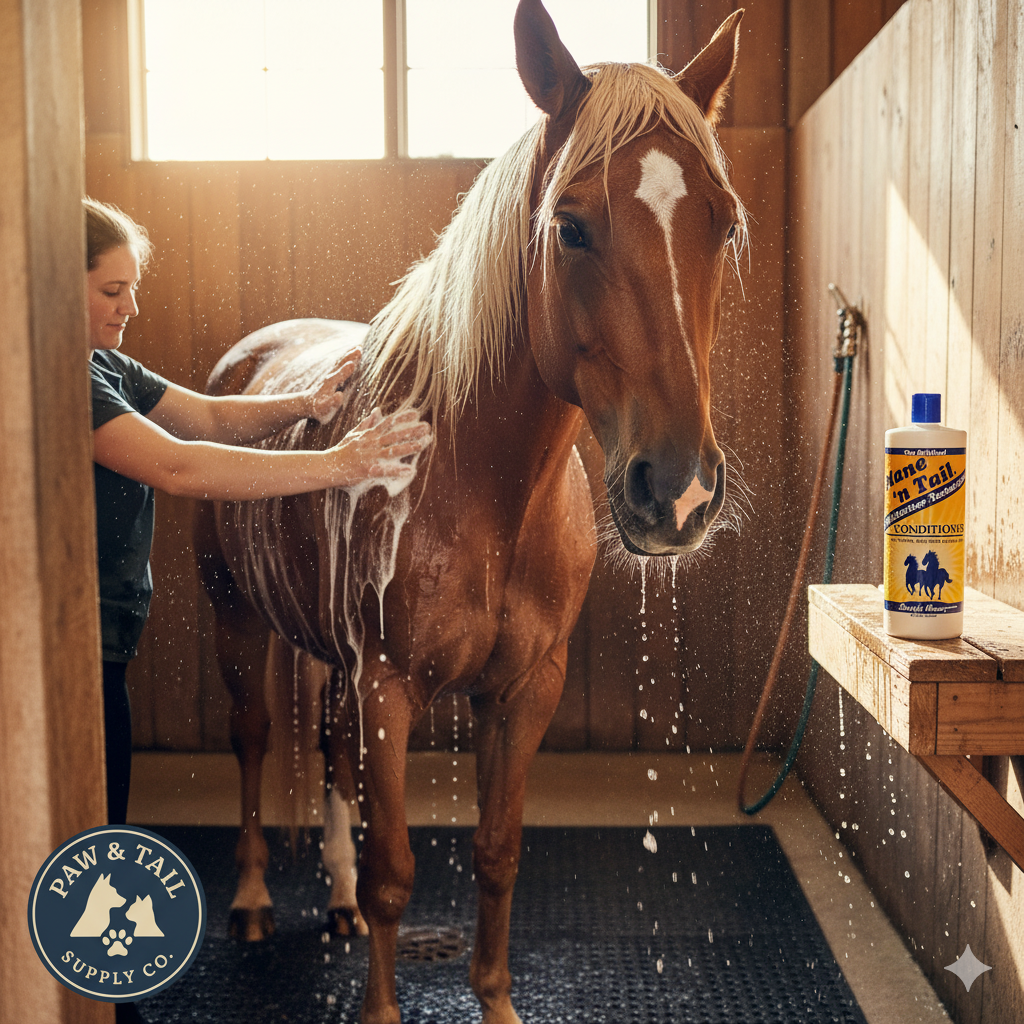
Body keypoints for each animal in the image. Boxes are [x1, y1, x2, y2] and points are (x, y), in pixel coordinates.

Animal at [194, 3, 746, 1022]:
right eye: (570, 227)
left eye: (723, 227)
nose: (678, 490)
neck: (485, 487)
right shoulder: (390, 689)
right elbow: (396, 874)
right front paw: (378, 1004)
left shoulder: (523, 691)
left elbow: (496, 853)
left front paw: (494, 999)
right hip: (238, 621)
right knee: (253, 745)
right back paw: (251, 901)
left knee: (328, 760)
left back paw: (329, 900)